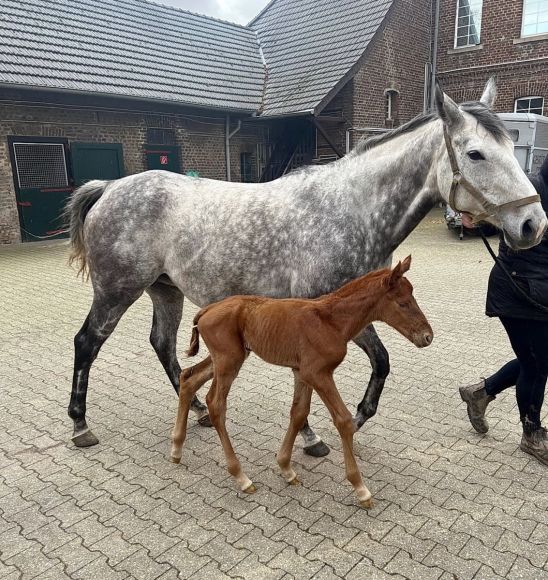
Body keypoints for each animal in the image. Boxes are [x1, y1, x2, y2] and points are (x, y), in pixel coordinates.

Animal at [66, 80, 544, 454]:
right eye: (476, 154)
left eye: (510, 147)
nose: (533, 224)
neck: (348, 211)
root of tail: (110, 187)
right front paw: (313, 436)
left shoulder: (356, 310)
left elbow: (382, 361)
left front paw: (356, 418)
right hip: (116, 291)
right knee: (87, 342)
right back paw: (80, 424)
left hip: (166, 289)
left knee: (162, 345)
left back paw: (199, 408)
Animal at [170, 258, 432, 508]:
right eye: (402, 303)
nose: (427, 336)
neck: (331, 321)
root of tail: (206, 310)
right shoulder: (319, 374)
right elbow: (344, 420)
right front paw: (361, 489)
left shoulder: (302, 373)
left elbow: (298, 413)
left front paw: (286, 468)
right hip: (228, 361)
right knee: (215, 403)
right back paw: (241, 477)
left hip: (227, 357)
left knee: (188, 378)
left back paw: (176, 449)